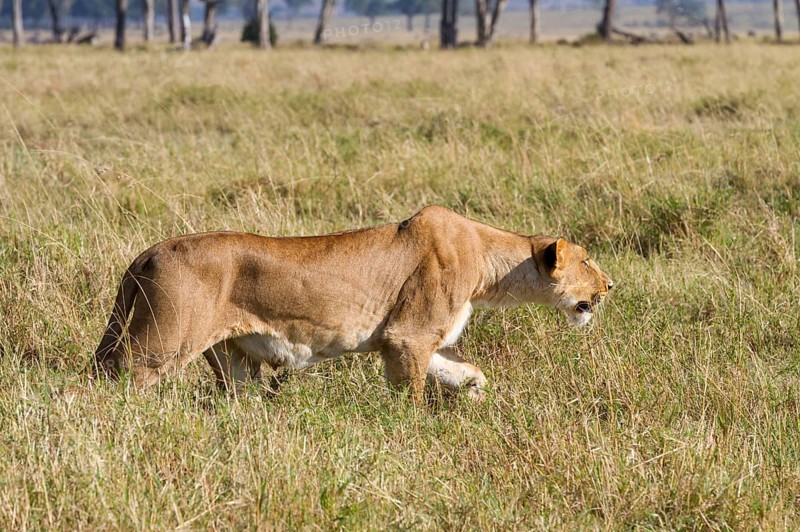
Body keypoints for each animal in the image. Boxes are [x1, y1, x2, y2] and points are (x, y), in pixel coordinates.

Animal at [94, 206, 613, 402]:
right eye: (588, 259)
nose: (611, 285)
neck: (489, 264)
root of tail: (147, 253)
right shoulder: (407, 337)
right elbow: (411, 395)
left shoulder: (419, 341)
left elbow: (466, 371)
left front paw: (474, 396)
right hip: (161, 341)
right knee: (117, 374)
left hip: (232, 358)